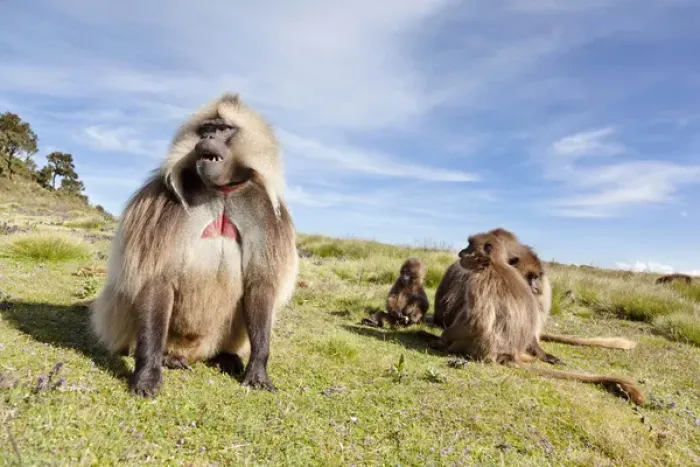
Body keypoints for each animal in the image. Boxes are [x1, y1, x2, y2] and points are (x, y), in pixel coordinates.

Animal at [89, 93, 299, 397]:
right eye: (206, 128)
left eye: (223, 128)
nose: (208, 137)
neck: (222, 191)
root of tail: (192, 351)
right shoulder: (160, 203)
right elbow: (156, 278)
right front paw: (147, 374)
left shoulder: (266, 211)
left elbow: (260, 283)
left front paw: (258, 369)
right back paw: (167, 358)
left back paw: (225, 356)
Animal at [420, 232, 644, 404]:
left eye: (468, 246)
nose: (461, 252)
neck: (496, 265)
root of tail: (507, 356)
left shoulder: (478, 280)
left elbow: (477, 322)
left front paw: (441, 339)